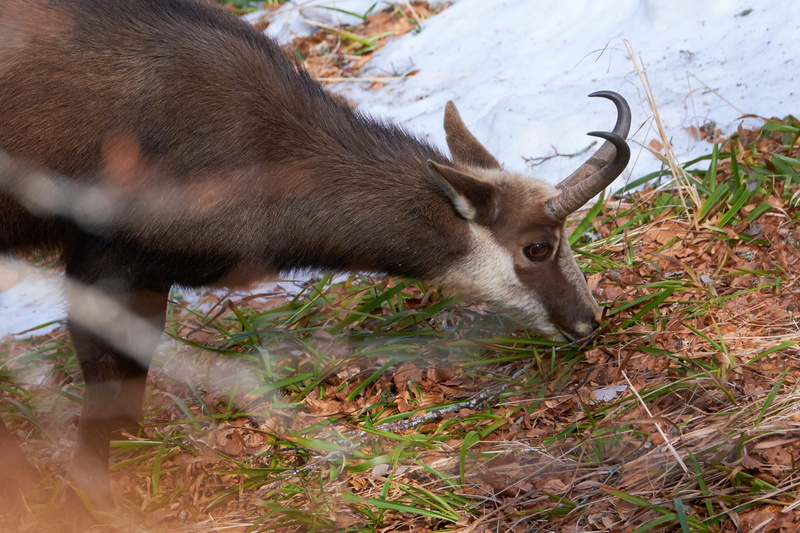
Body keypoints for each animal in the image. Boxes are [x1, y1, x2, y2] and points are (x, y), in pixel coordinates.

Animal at [0, 0, 630, 511]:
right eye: (537, 246)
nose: (589, 319)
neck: (259, 149)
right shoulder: (102, 260)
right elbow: (105, 381)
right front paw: (93, 497)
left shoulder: (150, 275)